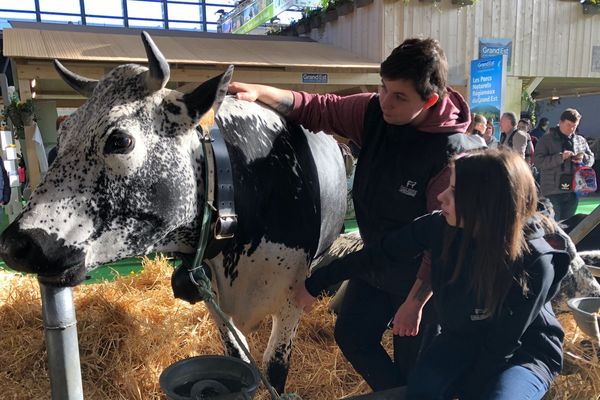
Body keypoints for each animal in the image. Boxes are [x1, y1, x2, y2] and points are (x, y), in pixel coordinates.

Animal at [0, 32, 346, 394]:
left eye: (120, 140)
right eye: (64, 135)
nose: (16, 245)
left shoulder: (291, 302)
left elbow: (275, 372)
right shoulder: (216, 300)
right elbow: (239, 360)